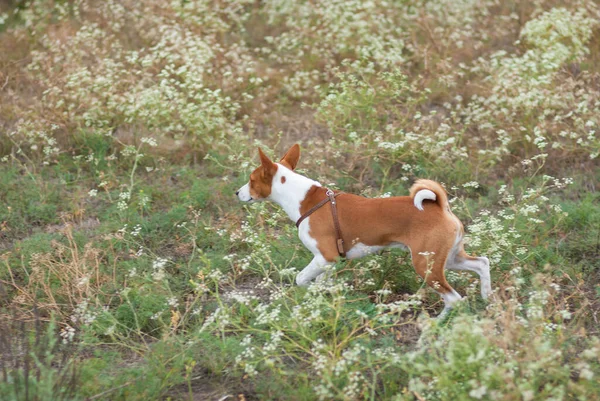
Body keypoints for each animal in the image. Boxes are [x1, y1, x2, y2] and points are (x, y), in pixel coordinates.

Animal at [234, 142, 492, 314]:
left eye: (251, 180)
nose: (237, 192)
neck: (304, 199)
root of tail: (439, 207)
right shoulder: (330, 262)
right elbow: (321, 283)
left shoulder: (325, 257)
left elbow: (301, 278)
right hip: (448, 259)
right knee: (482, 264)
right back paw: (487, 297)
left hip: (425, 265)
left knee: (454, 298)